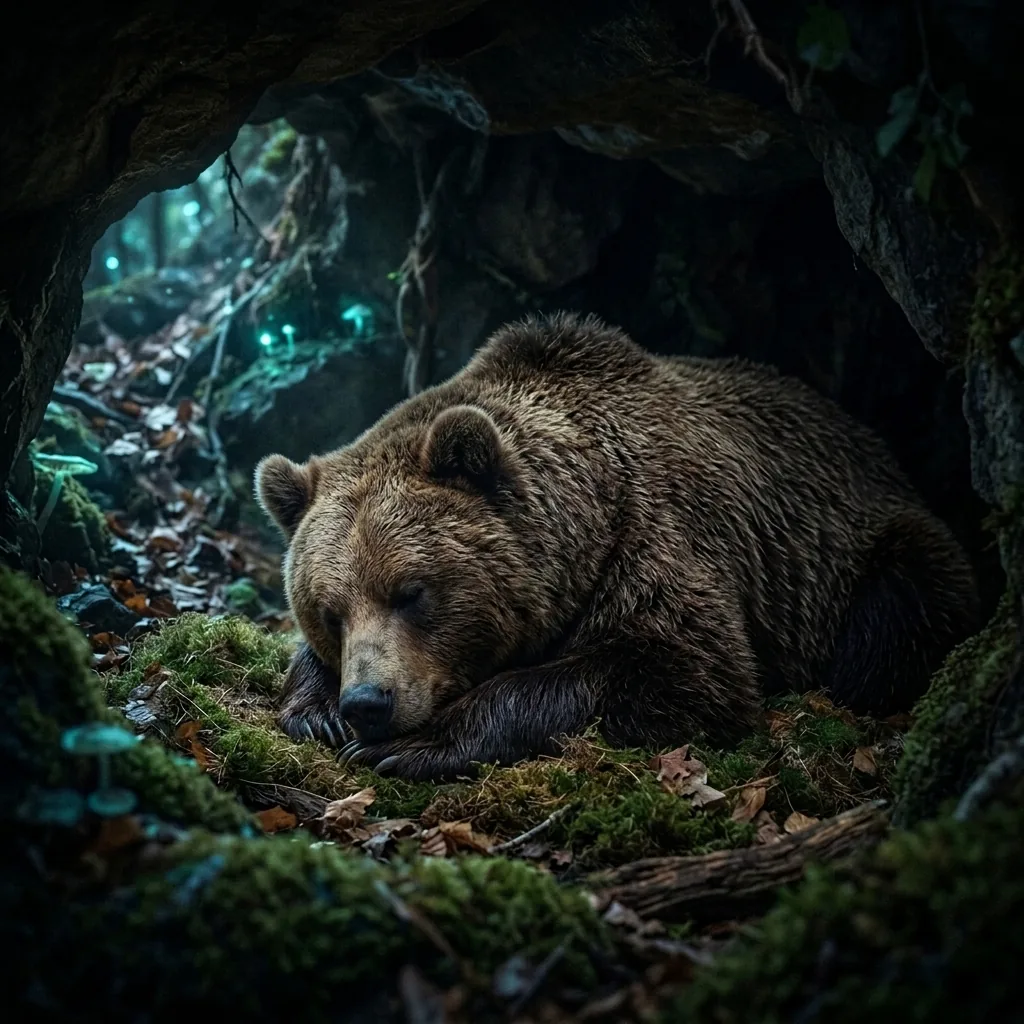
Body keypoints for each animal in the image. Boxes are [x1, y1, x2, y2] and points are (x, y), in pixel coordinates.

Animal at [255, 311, 980, 782]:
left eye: (411, 592)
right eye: (329, 610)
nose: (367, 702)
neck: (592, 516)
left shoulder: (659, 538)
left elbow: (682, 669)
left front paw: (419, 742)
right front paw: (316, 711)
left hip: (865, 549)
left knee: (891, 622)